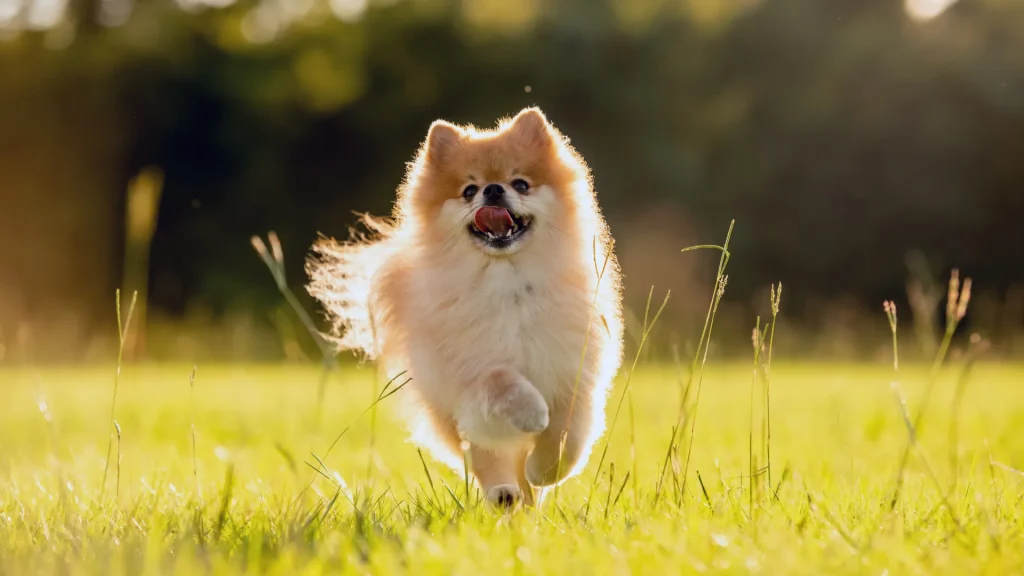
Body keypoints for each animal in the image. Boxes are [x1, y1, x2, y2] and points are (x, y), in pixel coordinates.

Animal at [305, 107, 622, 506]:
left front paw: (544, 471)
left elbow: (569, 437)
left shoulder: (572, 372)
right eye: (469, 190)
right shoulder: (468, 376)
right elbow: (501, 380)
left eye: (521, 184)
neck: (508, 284)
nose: (493, 189)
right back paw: (504, 493)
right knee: (485, 456)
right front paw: (533, 412)